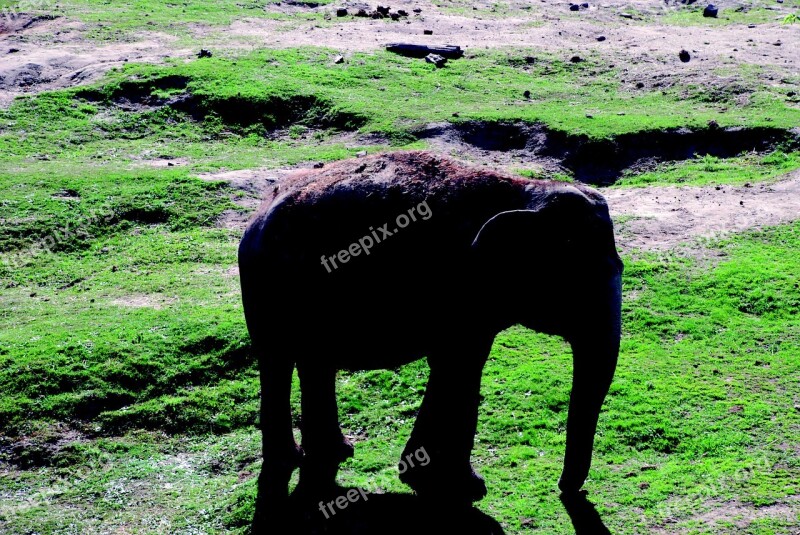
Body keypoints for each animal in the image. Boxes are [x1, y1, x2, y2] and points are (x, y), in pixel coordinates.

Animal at [238, 151, 624, 532]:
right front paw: (466, 487)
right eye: (575, 285)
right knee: (277, 361)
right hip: (267, 288)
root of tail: (258, 214)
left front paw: (426, 476)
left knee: (315, 363)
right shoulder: (459, 284)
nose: (566, 490)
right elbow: (461, 365)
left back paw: (336, 452)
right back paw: (291, 459)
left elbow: (456, 363)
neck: (526, 191)